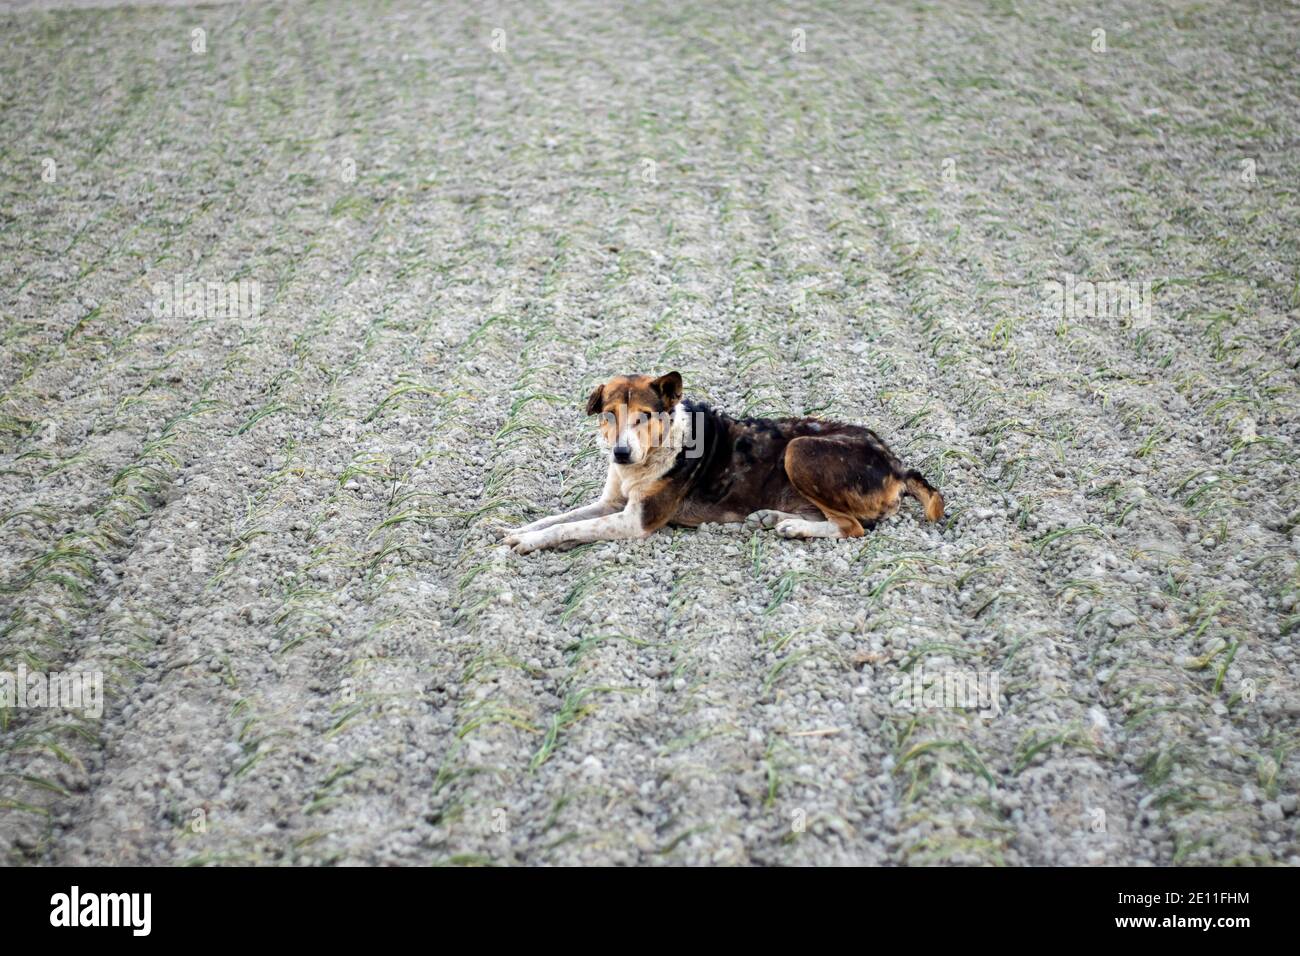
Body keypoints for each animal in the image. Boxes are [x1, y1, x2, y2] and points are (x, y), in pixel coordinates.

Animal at [501, 371, 941, 556]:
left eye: (644, 416)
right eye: (609, 414)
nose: (619, 453)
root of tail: (897, 463)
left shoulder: (635, 520)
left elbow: (573, 528)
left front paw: (532, 542)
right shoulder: (611, 502)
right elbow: (560, 518)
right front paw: (520, 530)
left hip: (798, 449)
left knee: (853, 527)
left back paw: (794, 527)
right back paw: (773, 517)